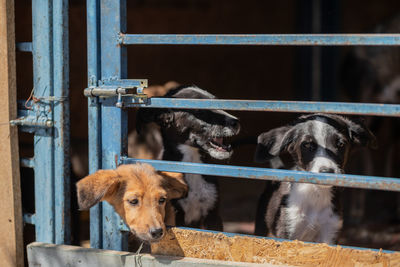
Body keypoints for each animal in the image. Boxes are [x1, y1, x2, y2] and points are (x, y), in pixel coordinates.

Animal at [255, 114, 376, 244]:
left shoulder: (330, 231)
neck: (316, 193)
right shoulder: (287, 229)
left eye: (340, 144)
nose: (327, 172)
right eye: (307, 145)